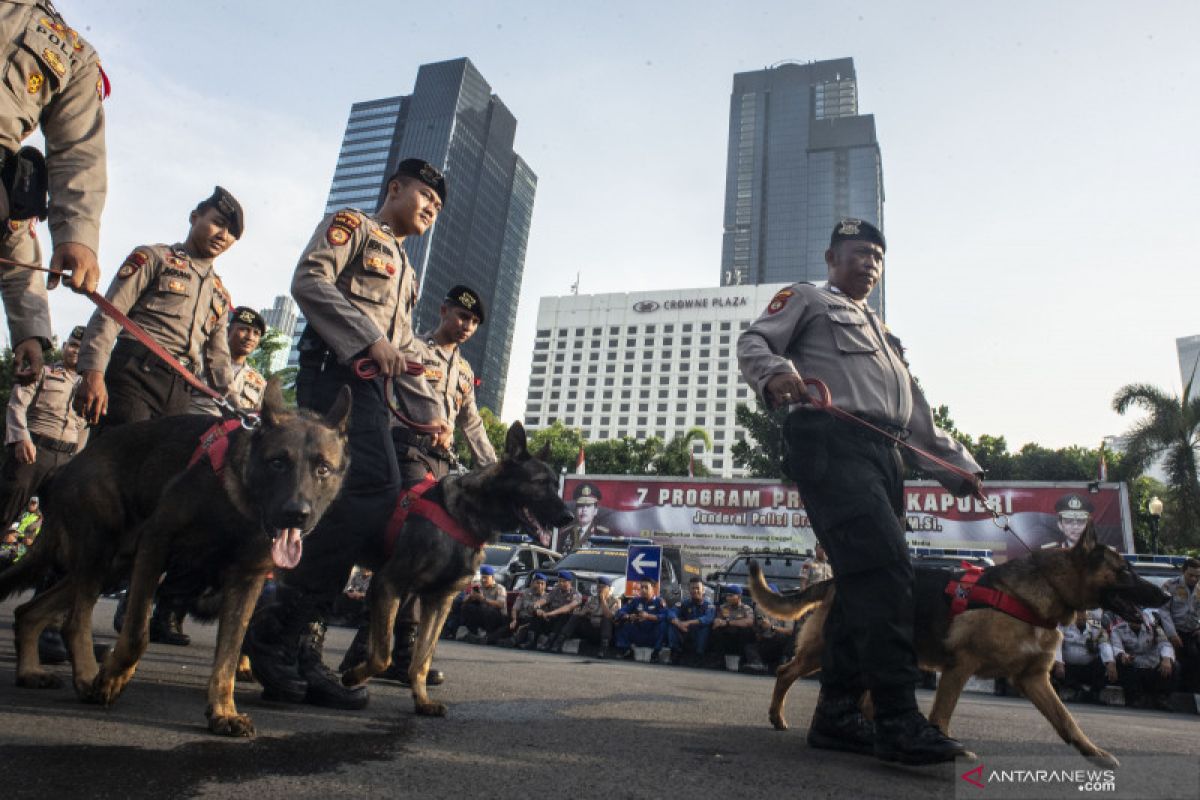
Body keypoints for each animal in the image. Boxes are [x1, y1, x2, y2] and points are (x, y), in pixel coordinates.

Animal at [0, 381, 350, 738]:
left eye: (322, 469)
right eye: (278, 462)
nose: (297, 514)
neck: (236, 502)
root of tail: (68, 464)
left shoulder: (246, 582)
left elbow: (228, 654)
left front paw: (223, 710)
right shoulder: (156, 546)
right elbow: (136, 634)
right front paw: (112, 677)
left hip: (114, 567)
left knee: (29, 611)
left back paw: (30, 671)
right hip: (100, 553)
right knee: (74, 621)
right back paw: (87, 677)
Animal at [336, 422, 573, 714]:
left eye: (556, 485)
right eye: (540, 483)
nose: (569, 518)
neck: (465, 514)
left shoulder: (439, 600)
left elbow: (422, 658)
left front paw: (422, 700)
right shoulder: (389, 582)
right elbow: (382, 655)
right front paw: (353, 677)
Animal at [748, 522, 1171, 767]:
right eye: (1126, 571)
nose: (1165, 597)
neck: (1042, 594)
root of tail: (837, 579)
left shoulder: (1033, 679)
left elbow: (1067, 720)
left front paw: (1093, 752)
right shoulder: (959, 668)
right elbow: (942, 716)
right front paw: (938, 746)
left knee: (864, 698)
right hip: (826, 651)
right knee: (785, 670)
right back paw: (778, 716)